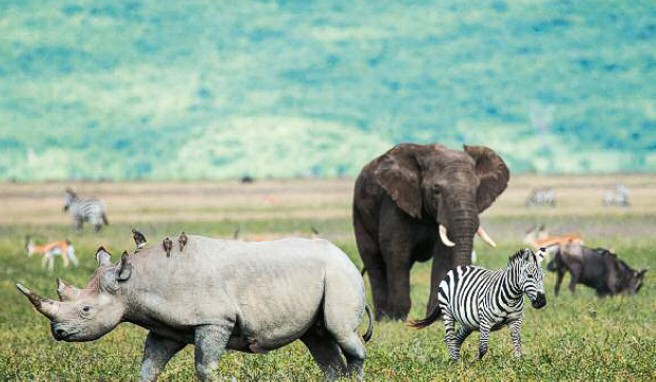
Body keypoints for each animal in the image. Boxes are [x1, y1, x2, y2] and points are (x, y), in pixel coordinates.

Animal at [352, 143, 510, 320]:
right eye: (436, 190)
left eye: (476, 190)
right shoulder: (394, 202)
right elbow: (396, 250)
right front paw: (397, 319)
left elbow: (443, 255)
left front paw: (437, 318)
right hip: (359, 212)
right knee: (374, 260)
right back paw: (382, 318)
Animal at [412, 248, 544, 362]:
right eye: (530, 276)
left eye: (543, 277)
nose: (542, 301)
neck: (511, 297)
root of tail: (457, 268)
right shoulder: (485, 322)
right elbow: (483, 347)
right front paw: (476, 364)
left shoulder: (515, 320)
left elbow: (517, 343)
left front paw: (518, 364)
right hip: (447, 312)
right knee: (449, 338)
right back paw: (455, 363)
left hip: (468, 322)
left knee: (457, 338)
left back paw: (458, 361)